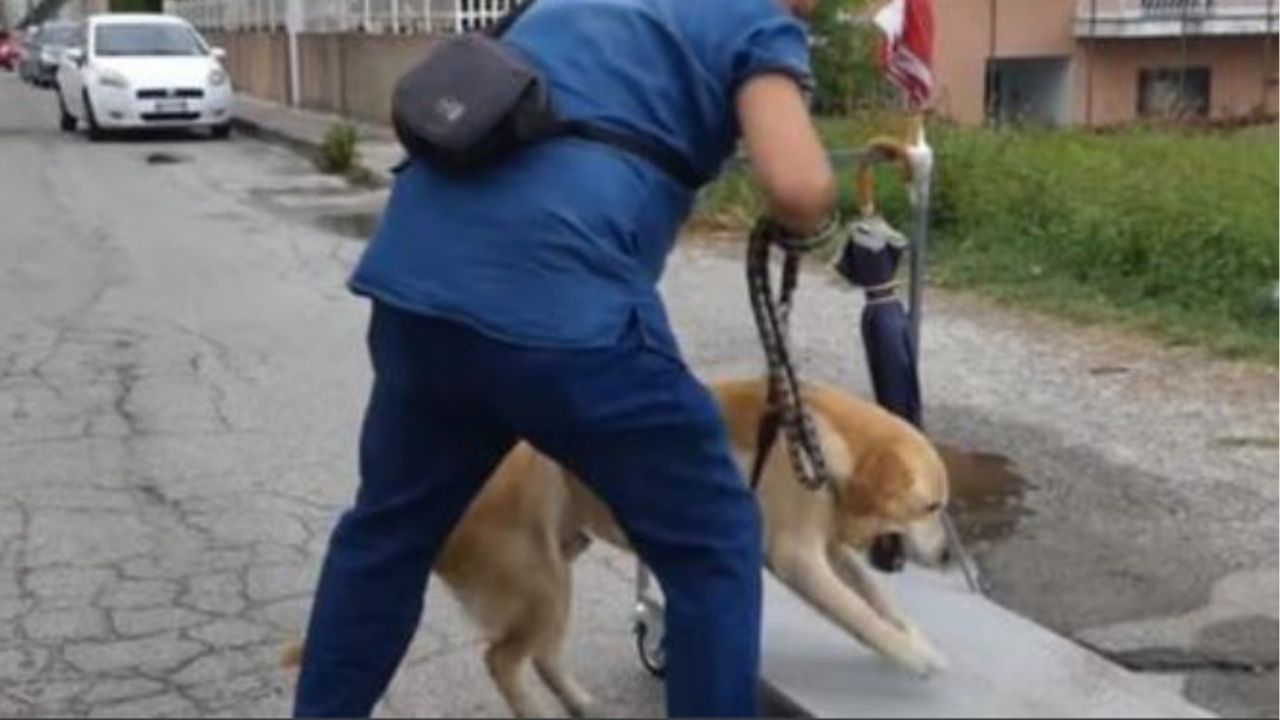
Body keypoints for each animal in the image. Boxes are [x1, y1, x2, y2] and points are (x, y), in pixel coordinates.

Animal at [290, 379, 952, 712]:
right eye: (931, 507)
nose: (948, 558)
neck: (820, 441)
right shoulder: (796, 558)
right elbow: (861, 617)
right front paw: (913, 656)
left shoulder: (832, 553)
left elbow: (879, 602)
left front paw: (917, 637)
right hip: (544, 584)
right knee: (503, 660)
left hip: (561, 570)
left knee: (540, 658)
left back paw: (582, 704)